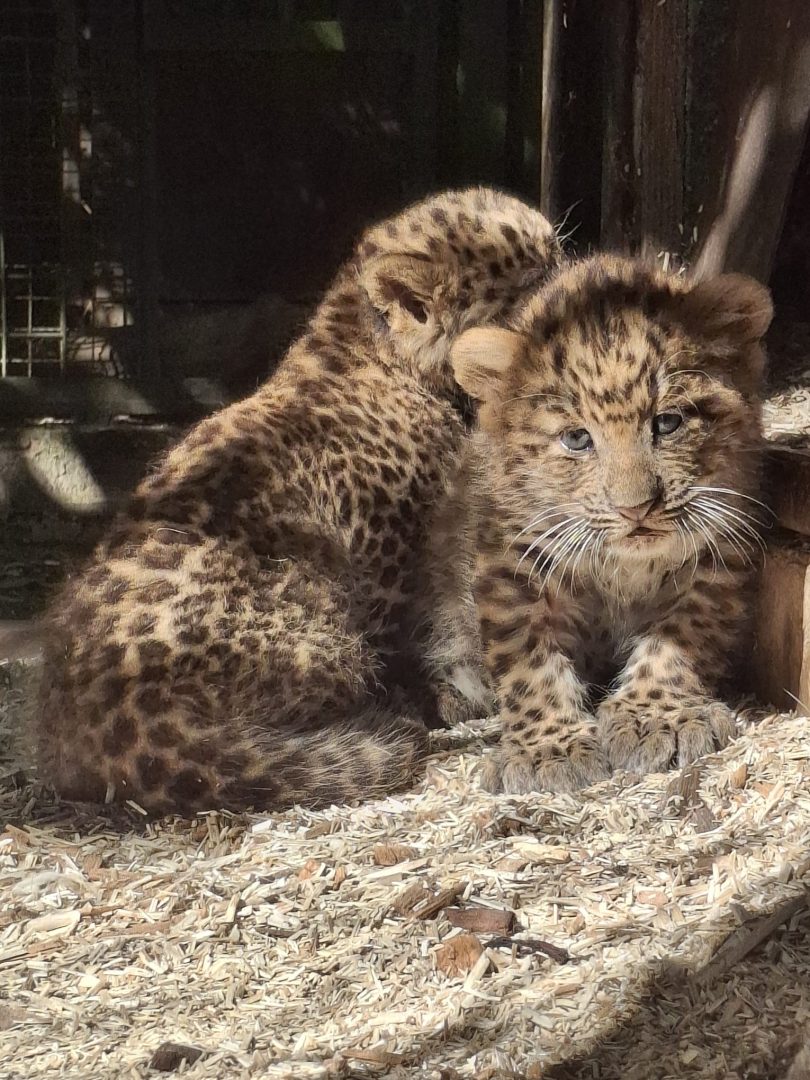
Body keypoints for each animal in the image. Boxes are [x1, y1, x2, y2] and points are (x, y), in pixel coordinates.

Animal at [36, 186, 561, 814]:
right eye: (530, 282)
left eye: (556, 252)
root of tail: (98, 726)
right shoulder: (395, 559)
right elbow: (415, 634)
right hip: (319, 622)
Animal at [449, 253, 773, 794]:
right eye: (577, 439)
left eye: (668, 423)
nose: (635, 509)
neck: (626, 567)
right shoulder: (512, 558)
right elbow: (528, 659)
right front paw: (546, 748)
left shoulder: (718, 551)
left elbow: (682, 635)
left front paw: (655, 716)